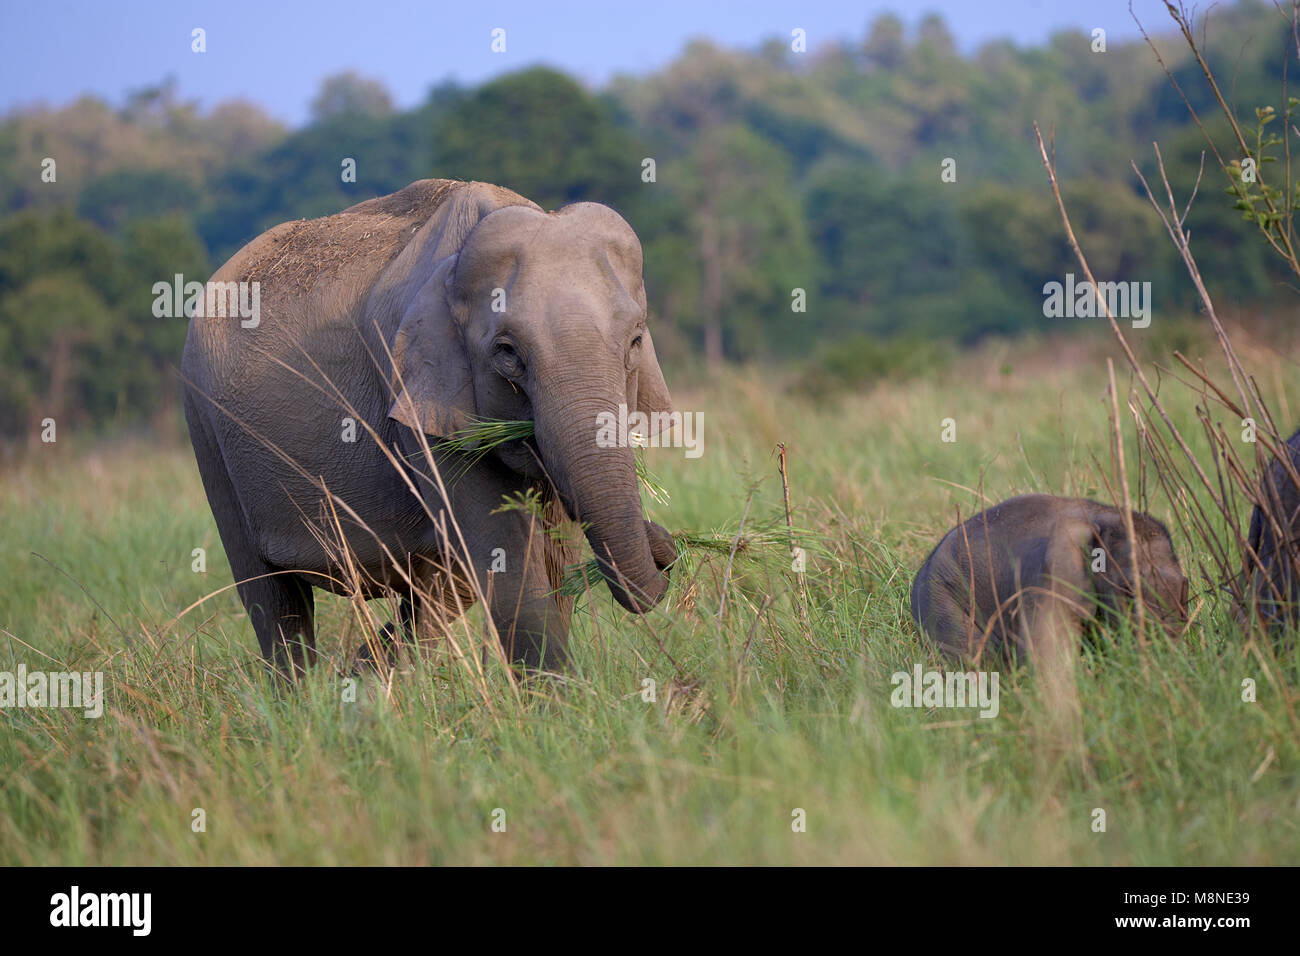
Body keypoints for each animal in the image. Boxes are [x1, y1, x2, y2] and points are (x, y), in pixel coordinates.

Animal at [182, 179, 677, 679]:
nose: (668, 543)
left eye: (635, 340)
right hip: (205, 430)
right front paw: (555, 693)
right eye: (507, 353)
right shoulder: (417, 397)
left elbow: (554, 552)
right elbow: (502, 553)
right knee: (273, 602)